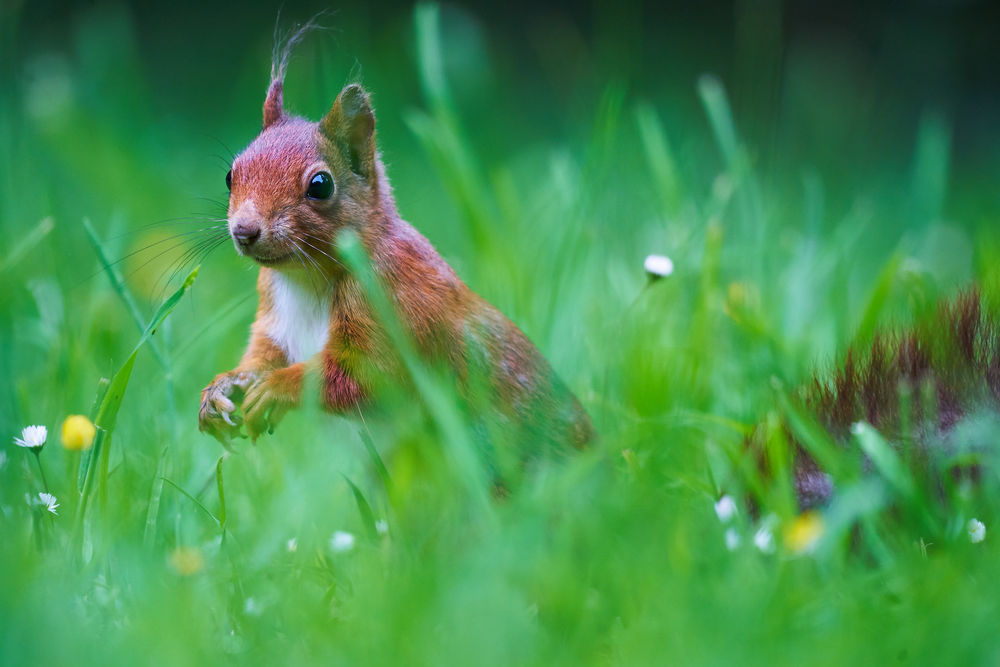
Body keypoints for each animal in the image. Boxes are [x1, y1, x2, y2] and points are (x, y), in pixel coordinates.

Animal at [197, 35, 594, 463]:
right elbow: (263, 356)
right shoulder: (274, 318)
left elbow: (370, 376)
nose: (244, 230)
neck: (306, 278)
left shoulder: (396, 301)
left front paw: (276, 388)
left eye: (320, 185)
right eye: (230, 175)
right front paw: (223, 388)